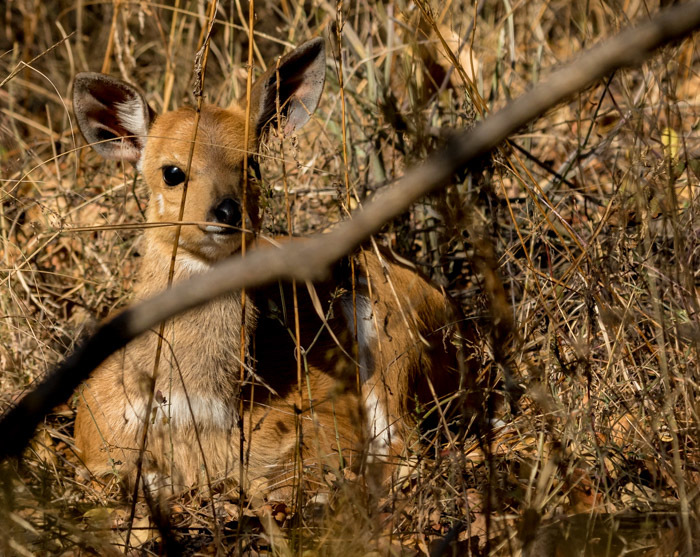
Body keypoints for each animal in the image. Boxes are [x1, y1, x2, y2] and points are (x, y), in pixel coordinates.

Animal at [71, 38, 468, 500]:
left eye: (252, 164)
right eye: (172, 172)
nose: (228, 211)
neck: (200, 412)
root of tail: (451, 311)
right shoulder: (95, 448)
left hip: (390, 338)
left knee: (405, 447)